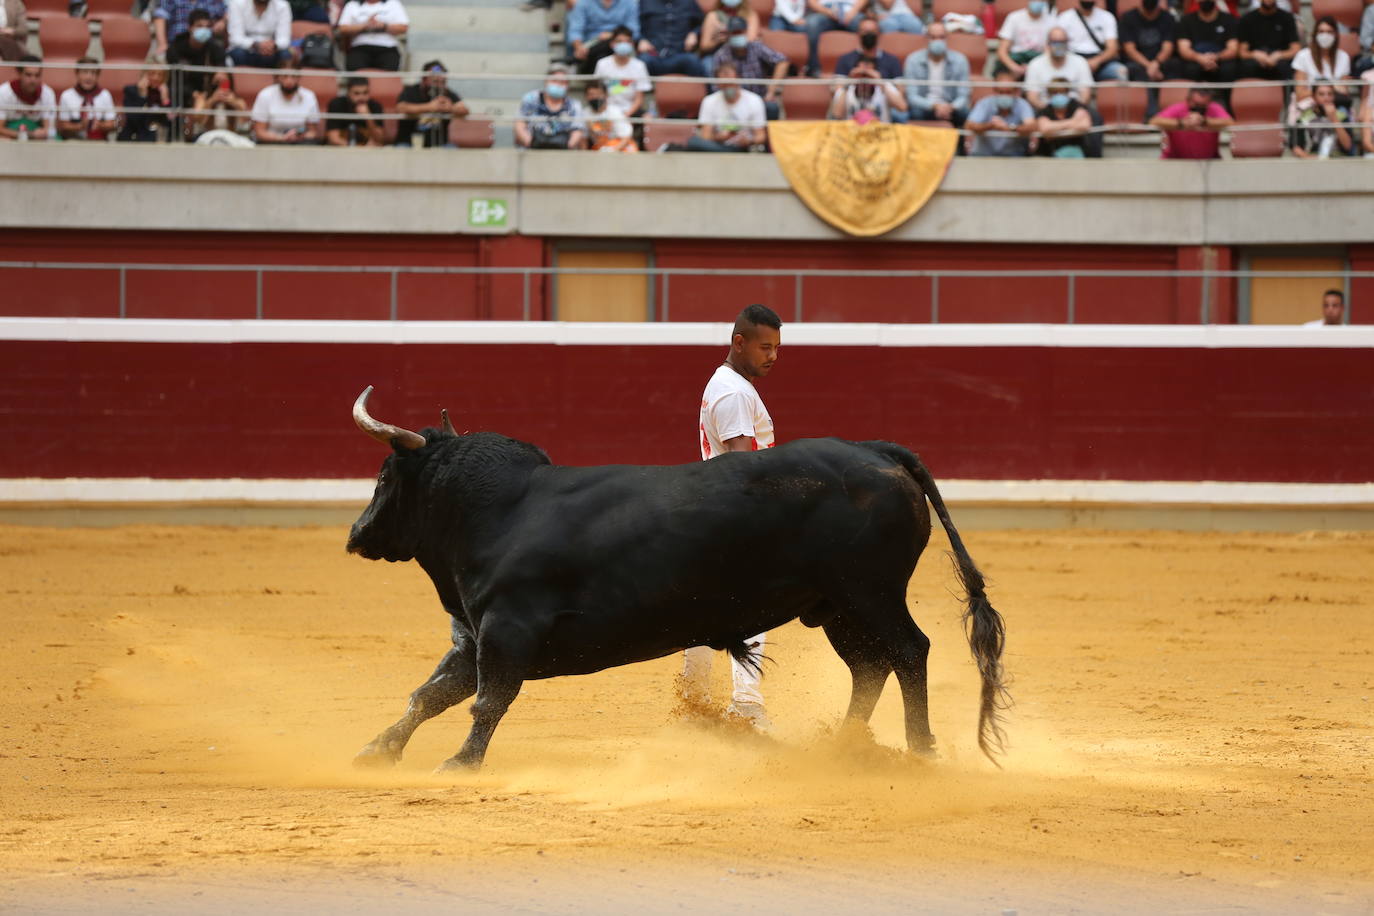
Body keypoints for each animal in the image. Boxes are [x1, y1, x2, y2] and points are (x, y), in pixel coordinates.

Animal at [346, 390, 1011, 774]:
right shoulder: (474, 635)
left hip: (870, 593)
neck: (500, 509)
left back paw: (921, 749)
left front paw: (460, 763)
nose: (356, 534)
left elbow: (486, 699)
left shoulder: (508, 628)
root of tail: (875, 450)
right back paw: (842, 749)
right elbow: (430, 693)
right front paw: (377, 750)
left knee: (908, 651)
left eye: (383, 475)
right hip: (836, 606)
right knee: (869, 665)